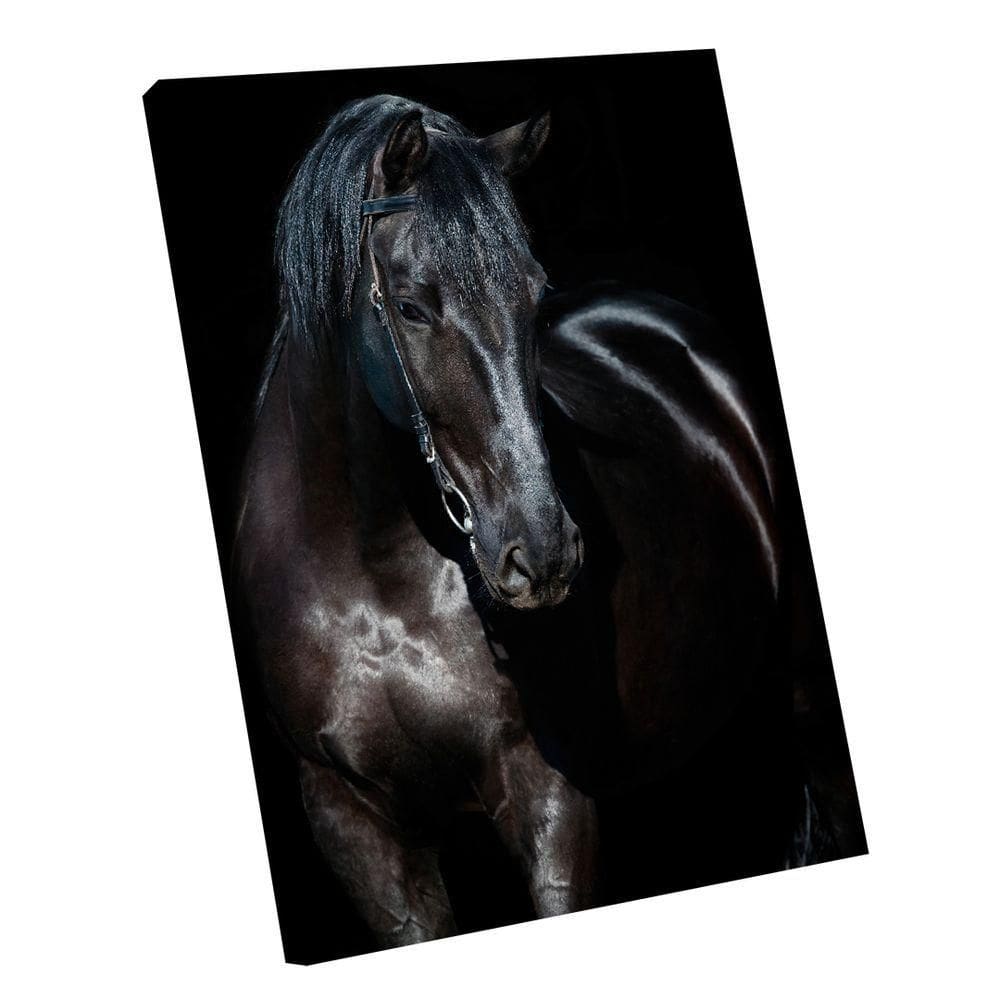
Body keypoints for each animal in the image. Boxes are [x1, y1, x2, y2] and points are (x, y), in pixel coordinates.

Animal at [232, 94, 860, 950]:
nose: (544, 553)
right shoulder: (352, 823)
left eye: (533, 294)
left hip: (806, 697)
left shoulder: (547, 792)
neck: (372, 572)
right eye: (411, 307)